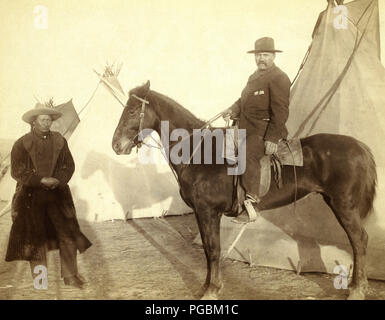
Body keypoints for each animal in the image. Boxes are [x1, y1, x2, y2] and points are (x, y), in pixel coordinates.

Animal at [111, 81, 376, 302]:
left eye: (132, 111)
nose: (116, 145)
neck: (199, 152)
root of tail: (359, 146)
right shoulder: (201, 213)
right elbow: (207, 250)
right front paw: (206, 286)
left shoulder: (208, 212)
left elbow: (213, 250)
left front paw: (212, 289)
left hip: (344, 206)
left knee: (359, 240)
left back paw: (357, 290)